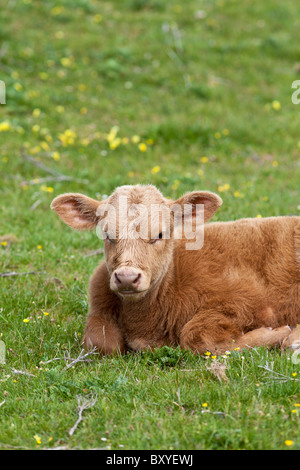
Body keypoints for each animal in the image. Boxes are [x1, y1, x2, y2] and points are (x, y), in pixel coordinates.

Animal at [51, 184, 300, 356]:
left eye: (160, 234)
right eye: (107, 234)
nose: (127, 278)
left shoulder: (243, 301)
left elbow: (197, 338)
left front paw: (278, 334)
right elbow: (101, 342)